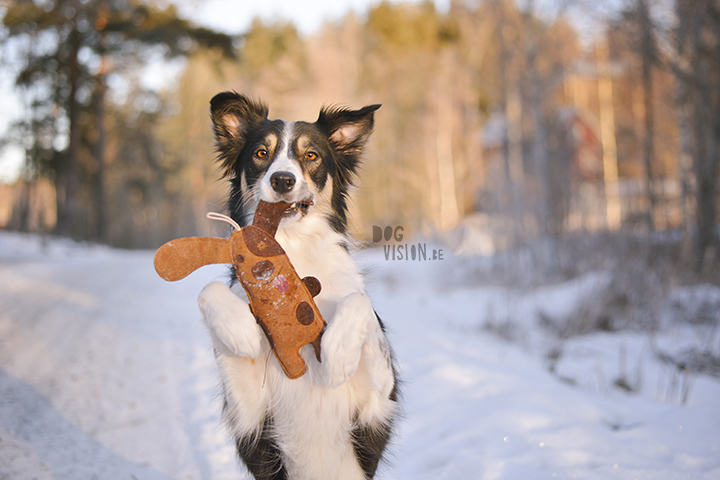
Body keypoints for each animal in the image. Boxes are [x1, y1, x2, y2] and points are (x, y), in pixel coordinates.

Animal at [197, 91, 400, 480]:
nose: (282, 180)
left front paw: (338, 354)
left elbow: (359, 301)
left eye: (311, 155)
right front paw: (240, 330)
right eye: (261, 153)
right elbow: (208, 291)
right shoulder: (249, 412)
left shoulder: (376, 405)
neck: (292, 251)